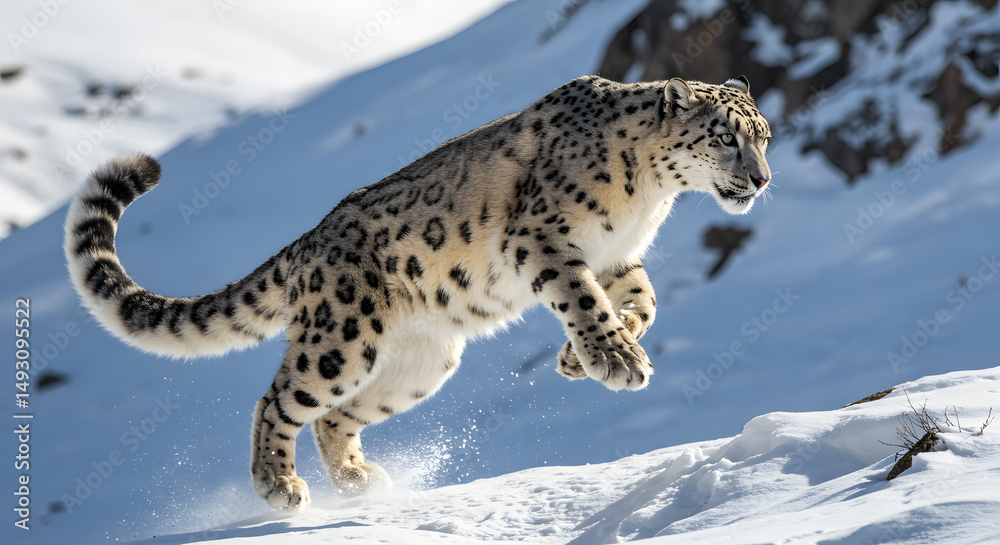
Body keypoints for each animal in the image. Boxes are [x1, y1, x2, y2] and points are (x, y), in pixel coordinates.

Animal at [64, 75, 771, 510]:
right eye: (725, 137)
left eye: (763, 136)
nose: (763, 179)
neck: (648, 198)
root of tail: (307, 242)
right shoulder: (545, 241)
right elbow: (583, 299)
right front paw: (617, 359)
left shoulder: (618, 255)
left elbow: (644, 300)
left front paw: (587, 355)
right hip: (341, 338)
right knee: (278, 400)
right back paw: (279, 485)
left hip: (420, 364)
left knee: (334, 417)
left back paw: (358, 480)